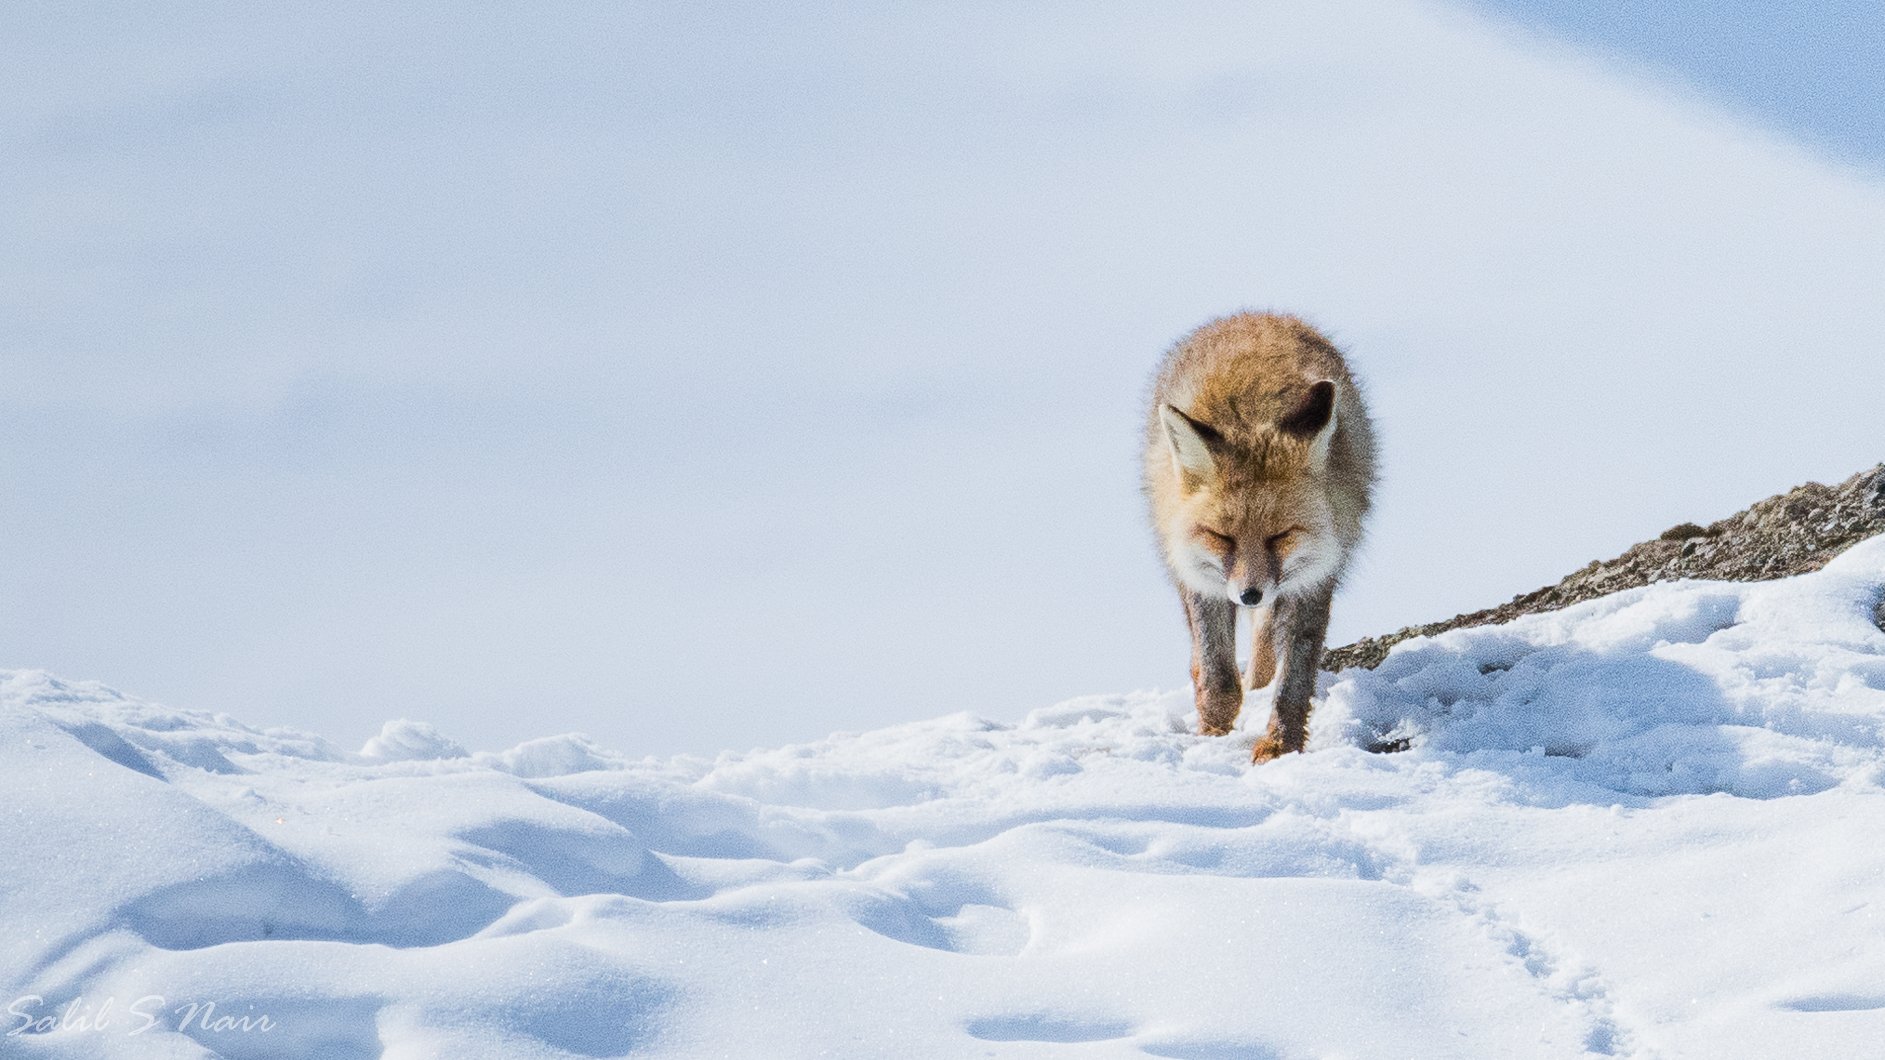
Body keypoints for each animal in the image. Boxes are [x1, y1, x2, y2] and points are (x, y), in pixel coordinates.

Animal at [1142, 312, 1377, 762]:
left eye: (1280, 535)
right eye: (1222, 536)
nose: (1250, 595)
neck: (1252, 409)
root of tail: (1257, 314)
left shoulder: (1314, 577)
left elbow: (1293, 680)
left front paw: (1279, 745)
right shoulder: (1203, 579)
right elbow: (1217, 677)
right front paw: (1212, 738)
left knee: (1266, 649)